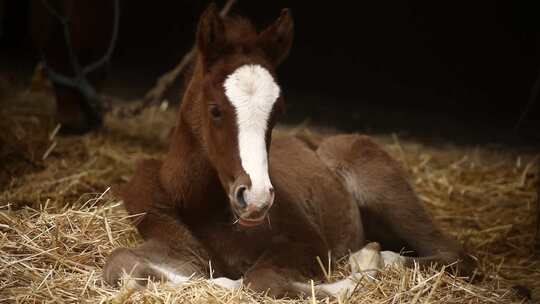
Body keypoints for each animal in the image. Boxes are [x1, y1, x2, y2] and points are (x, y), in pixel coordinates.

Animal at [103, 4, 474, 300]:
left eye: (278, 111)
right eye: (215, 110)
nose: (255, 198)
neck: (201, 206)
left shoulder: (306, 244)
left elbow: (260, 280)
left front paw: (362, 271)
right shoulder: (173, 243)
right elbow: (119, 262)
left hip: (382, 186)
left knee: (453, 253)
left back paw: (378, 258)